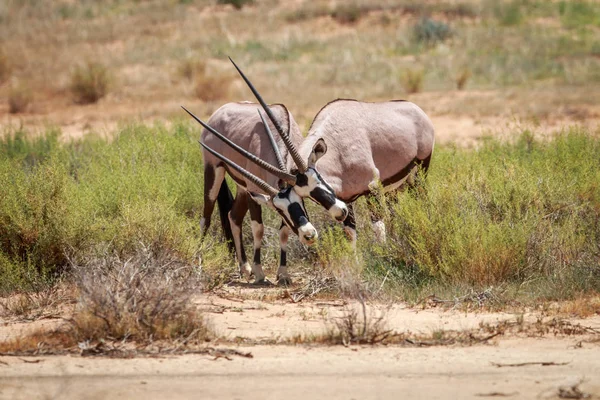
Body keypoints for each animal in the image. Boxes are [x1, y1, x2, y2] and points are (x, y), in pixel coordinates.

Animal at [185, 61, 350, 284]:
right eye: (279, 209)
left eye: (318, 180)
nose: (309, 235)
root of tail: (218, 113)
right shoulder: (257, 191)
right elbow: (258, 228)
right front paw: (260, 272)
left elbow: (283, 231)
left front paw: (283, 274)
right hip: (215, 171)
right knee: (206, 218)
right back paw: (201, 265)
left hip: (242, 186)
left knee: (233, 216)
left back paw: (244, 267)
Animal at [302, 98, 434, 242]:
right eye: (304, 195)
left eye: (318, 178)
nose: (339, 214)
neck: (336, 148)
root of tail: (416, 109)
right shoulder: (346, 200)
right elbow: (350, 232)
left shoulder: (372, 188)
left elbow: (378, 226)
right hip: (394, 187)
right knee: (393, 211)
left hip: (420, 171)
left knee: (422, 199)